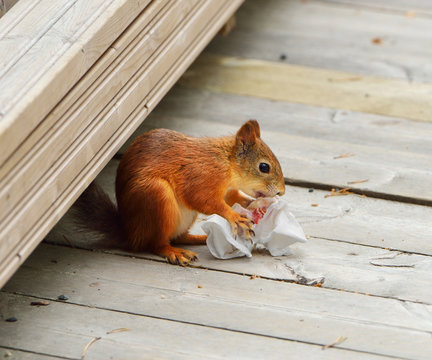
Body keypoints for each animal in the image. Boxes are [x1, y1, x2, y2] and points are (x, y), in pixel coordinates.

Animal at [75, 120, 284, 264]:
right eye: (264, 167)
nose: (281, 192)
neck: (227, 163)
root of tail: (130, 234)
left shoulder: (226, 189)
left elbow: (230, 197)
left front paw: (251, 205)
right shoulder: (201, 177)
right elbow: (205, 200)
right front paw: (235, 216)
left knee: (178, 237)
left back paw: (199, 238)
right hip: (156, 196)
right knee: (156, 244)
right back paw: (174, 252)